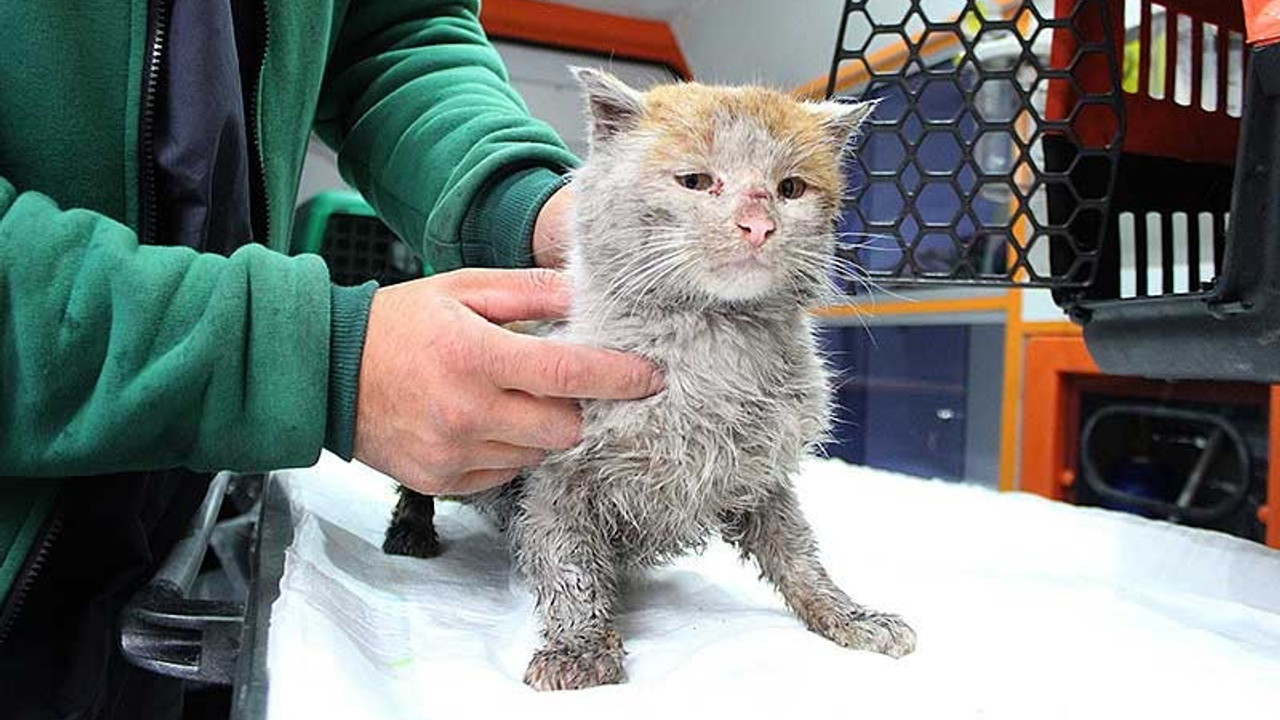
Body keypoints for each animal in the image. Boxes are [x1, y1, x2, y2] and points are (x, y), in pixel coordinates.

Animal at [384, 68, 916, 691]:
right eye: (696, 181)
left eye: (790, 188)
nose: (759, 224)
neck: (711, 347)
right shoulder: (557, 474)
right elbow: (568, 564)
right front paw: (580, 646)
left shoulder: (762, 475)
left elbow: (797, 554)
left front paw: (847, 614)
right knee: (417, 478)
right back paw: (411, 530)